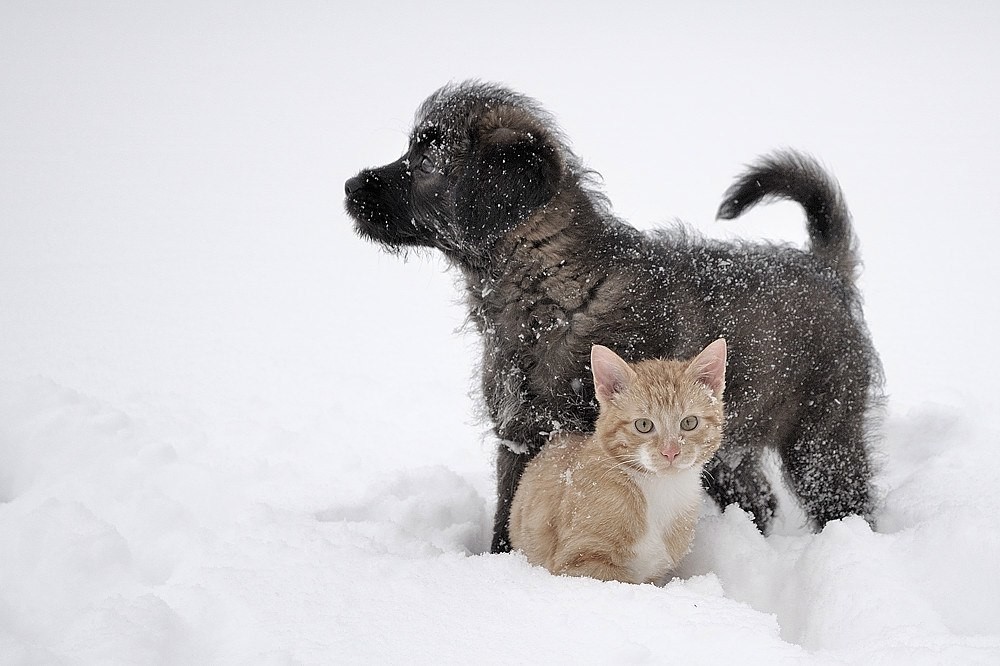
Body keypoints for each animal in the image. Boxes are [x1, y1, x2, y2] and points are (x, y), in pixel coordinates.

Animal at [346, 80, 884, 552]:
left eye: (426, 160)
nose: (350, 186)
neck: (551, 297)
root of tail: (824, 266)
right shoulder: (519, 438)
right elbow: (508, 516)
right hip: (726, 449)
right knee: (760, 501)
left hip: (821, 438)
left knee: (846, 503)